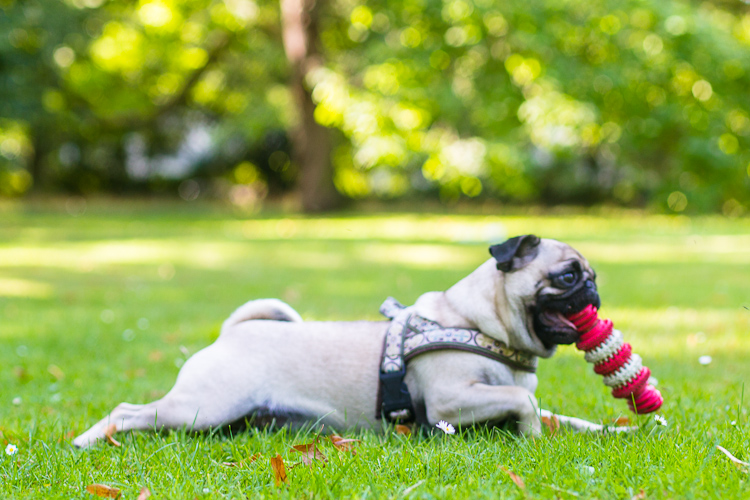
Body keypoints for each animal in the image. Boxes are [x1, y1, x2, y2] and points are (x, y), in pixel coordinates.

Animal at [75, 234, 628, 450]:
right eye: (567, 276)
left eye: (592, 276)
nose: (594, 288)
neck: (482, 323)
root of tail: (234, 332)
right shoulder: (451, 401)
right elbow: (523, 401)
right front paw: (530, 438)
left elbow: (559, 414)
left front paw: (614, 430)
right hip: (202, 406)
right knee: (128, 411)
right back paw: (88, 439)